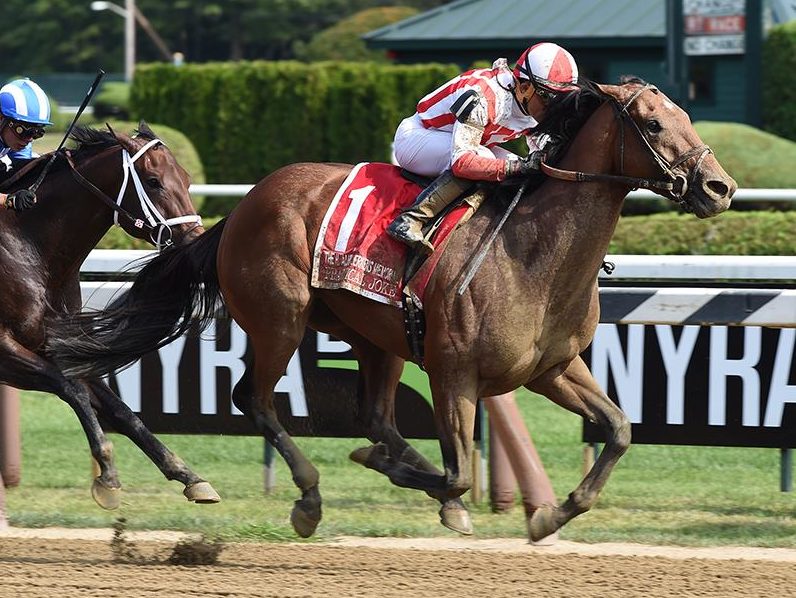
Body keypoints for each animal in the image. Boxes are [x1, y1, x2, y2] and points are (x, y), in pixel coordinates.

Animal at [1, 122, 219, 510]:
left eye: (187, 177)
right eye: (153, 181)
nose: (195, 241)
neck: (28, 247)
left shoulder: (55, 345)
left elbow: (120, 410)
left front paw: (188, 475)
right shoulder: (4, 351)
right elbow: (71, 387)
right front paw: (107, 473)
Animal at [46, 82, 736, 540]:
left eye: (685, 113)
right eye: (653, 124)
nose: (720, 187)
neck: (531, 251)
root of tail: (243, 207)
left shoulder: (552, 369)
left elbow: (618, 429)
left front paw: (547, 516)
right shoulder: (455, 373)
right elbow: (459, 474)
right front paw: (412, 481)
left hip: (372, 336)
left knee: (375, 415)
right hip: (280, 319)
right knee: (256, 398)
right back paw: (309, 497)